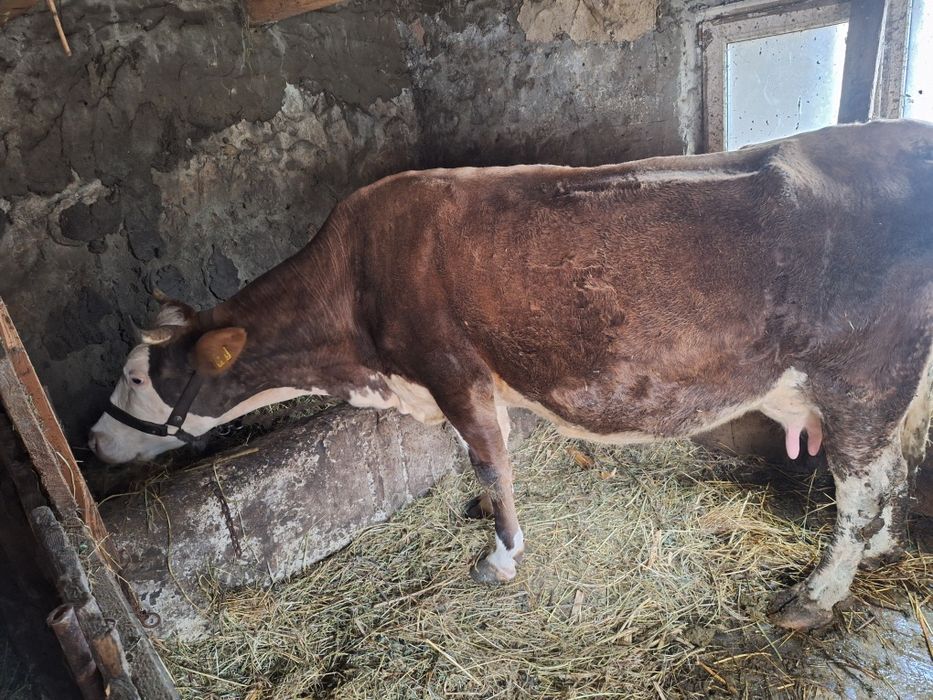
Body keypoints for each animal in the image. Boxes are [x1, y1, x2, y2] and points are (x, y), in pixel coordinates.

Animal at [88, 119, 933, 631]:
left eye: (135, 378)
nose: (93, 442)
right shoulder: (472, 379)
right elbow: (487, 463)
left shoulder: (450, 367)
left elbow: (490, 462)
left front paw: (500, 556)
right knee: (888, 473)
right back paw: (878, 551)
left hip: (861, 378)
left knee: (858, 489)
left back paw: (816, 594)